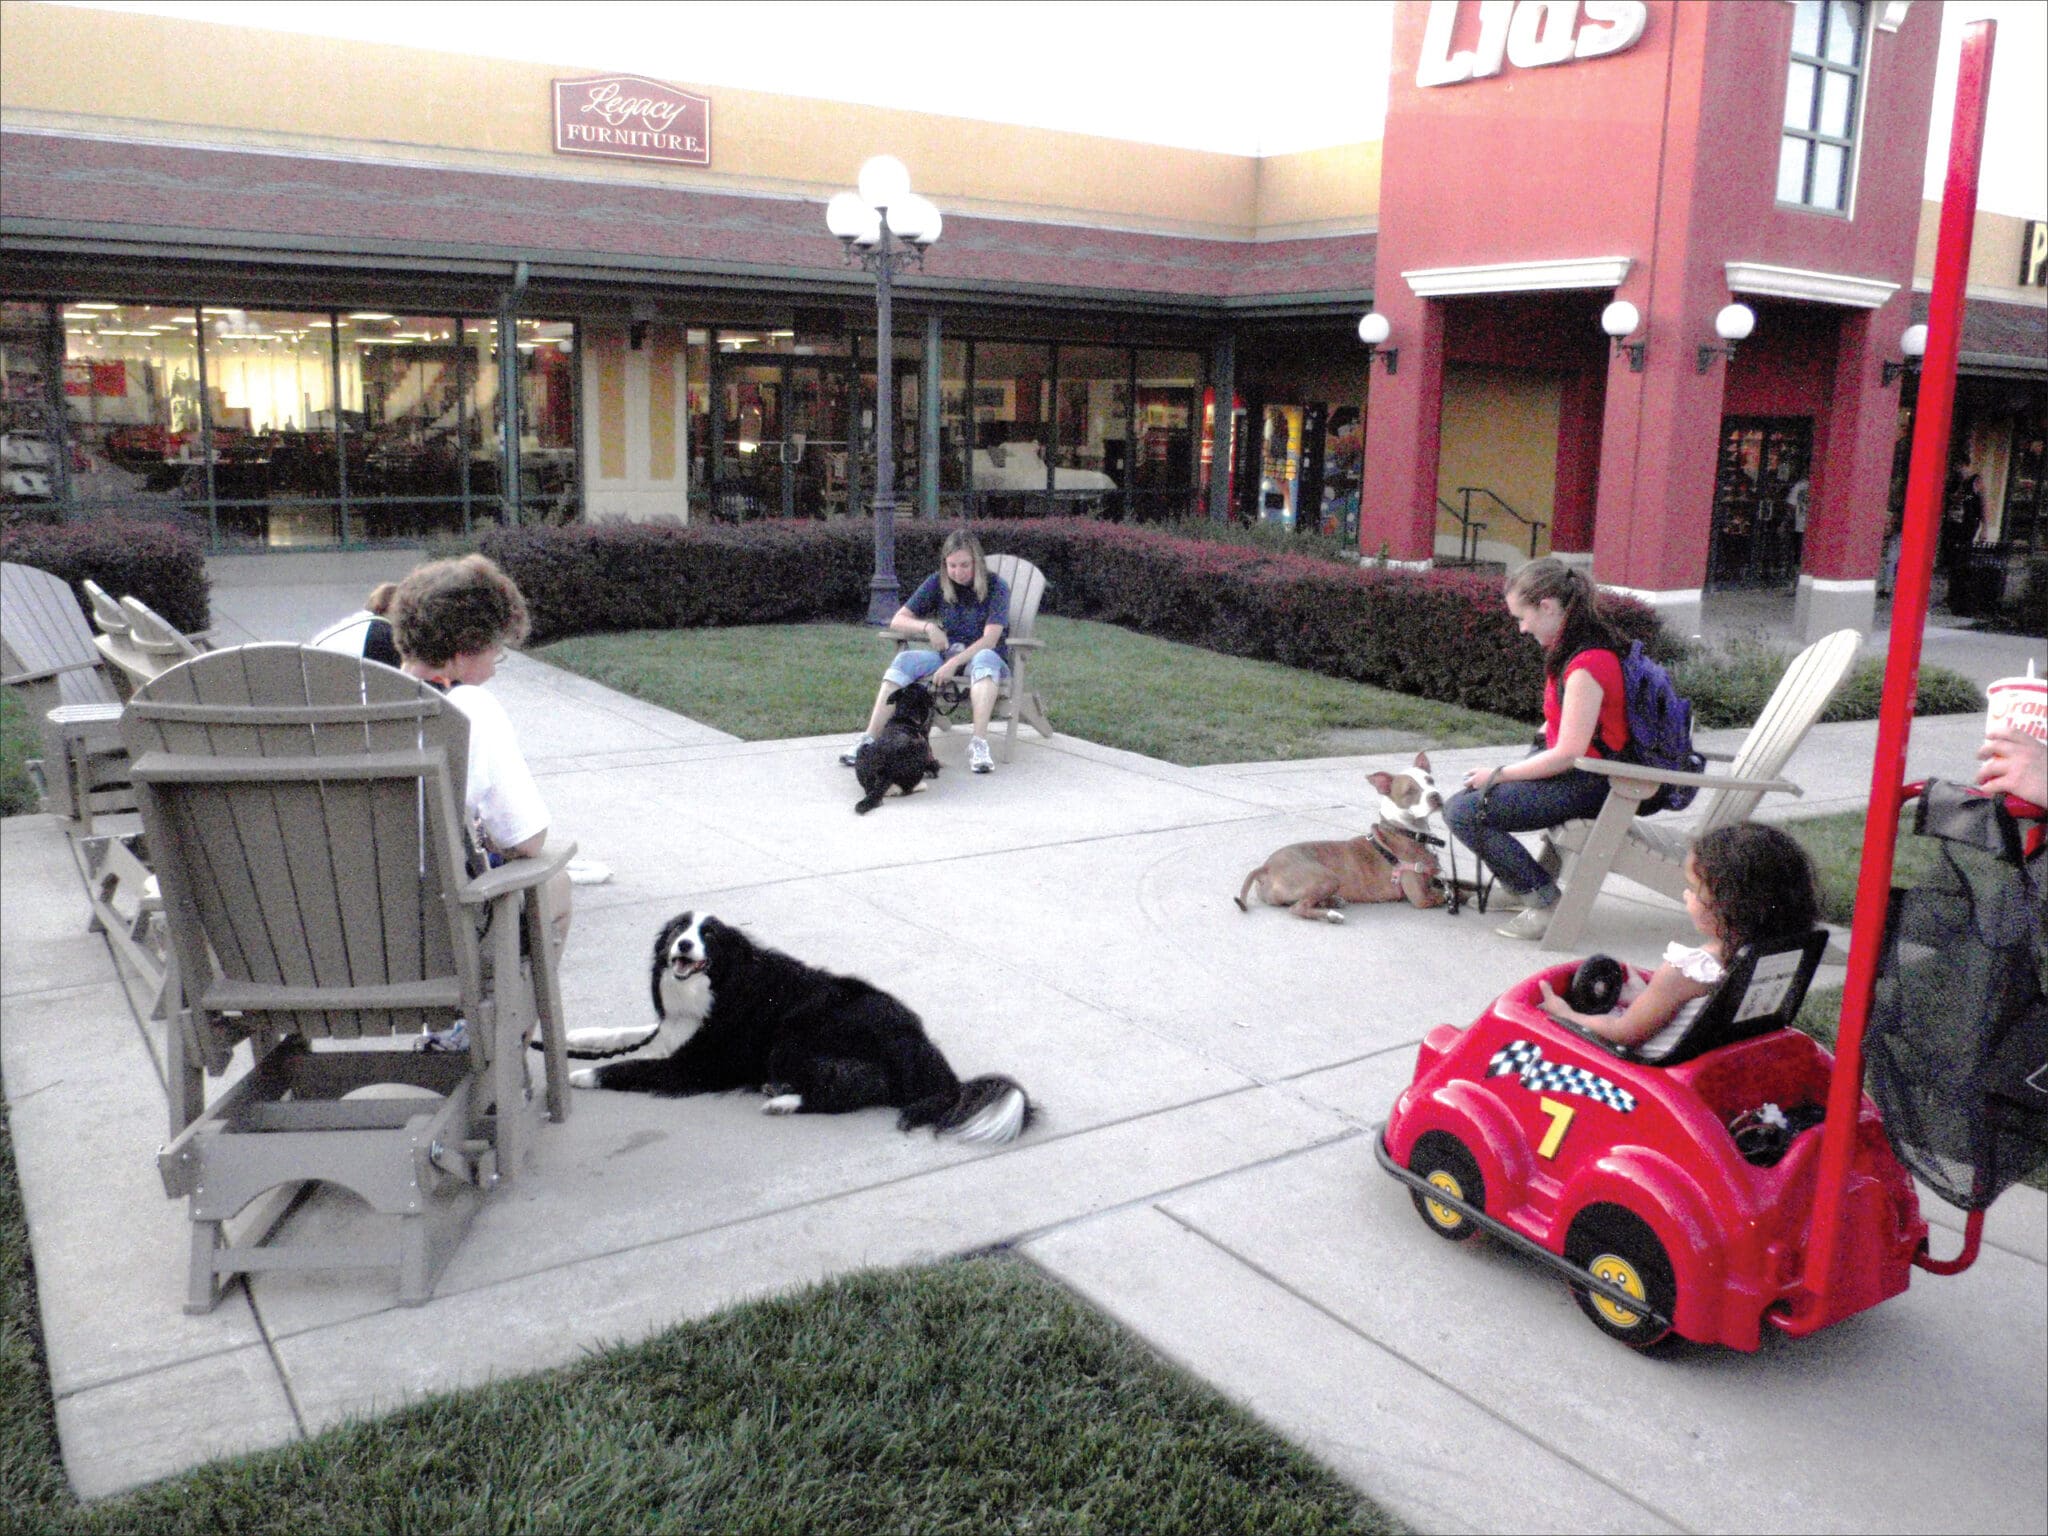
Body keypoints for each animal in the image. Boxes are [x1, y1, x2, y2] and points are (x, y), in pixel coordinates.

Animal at [565, 909, 1032, 1146]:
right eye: (680, 928)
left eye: (708, 935)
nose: (681, 945)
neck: (720, 985)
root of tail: (920, 1046)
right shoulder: (672, 1031)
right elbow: (623, 1036)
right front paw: (573, 1038)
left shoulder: (697, 1065)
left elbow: (630, 1066)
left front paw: (581, 1075)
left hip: (795, 1034)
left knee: (858, 1088)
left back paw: (784, 1101)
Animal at [851, 679, 937, 811]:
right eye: (923, 688)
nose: (931, 681)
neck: (906, 717)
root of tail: (884, 771)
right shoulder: (926, 747)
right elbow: (932, 764)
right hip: (921, 747)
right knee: (907, 789)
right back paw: (921, 786)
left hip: (862, 749)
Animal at [1228, 749, 1441, 921]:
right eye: (1410, 791)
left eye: (1430, 781)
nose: (1436, 796)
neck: (1404, 829)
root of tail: (1266, 867)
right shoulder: (1421, 897)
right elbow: (1447, 895)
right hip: (1327, 877)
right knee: (1298, 908)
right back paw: (1331, 915)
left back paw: (1332, 902)